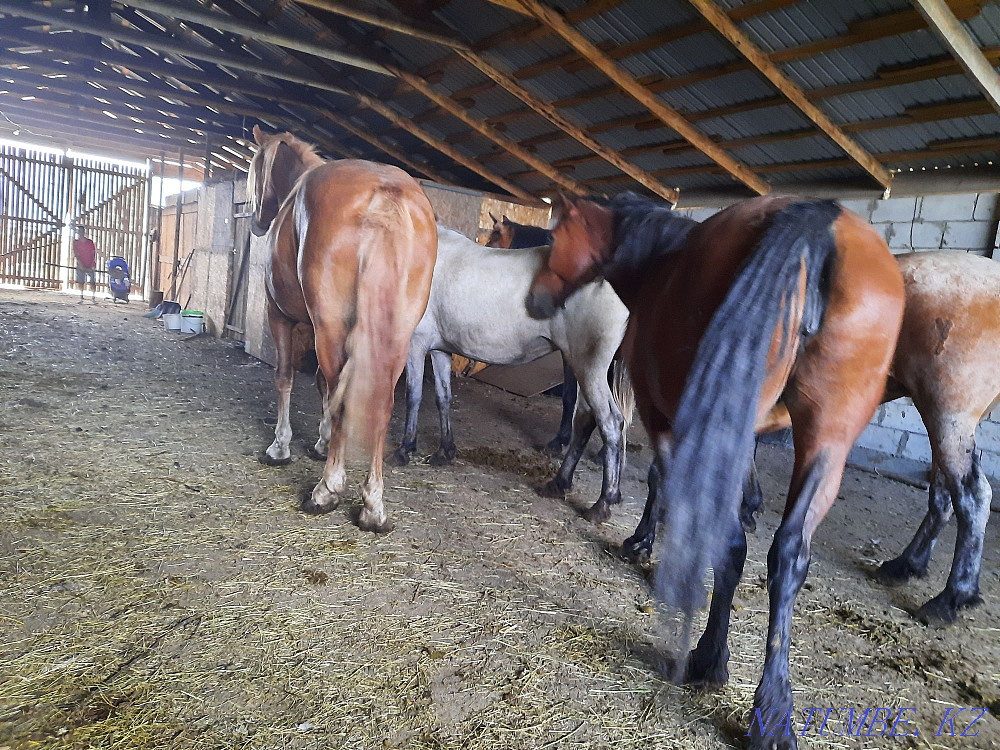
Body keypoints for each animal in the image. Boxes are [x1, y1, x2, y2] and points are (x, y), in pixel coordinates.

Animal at [249, 125, 437, 533]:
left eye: (254, 167)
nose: (256, 220)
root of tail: (387, 193)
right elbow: (321, 385)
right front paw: (319, 444)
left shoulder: (283, 318)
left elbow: (287, 377)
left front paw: (280, 447)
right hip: (394, 339)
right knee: (381, 405)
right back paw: (373, 507)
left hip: (332, 328)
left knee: (343, 395)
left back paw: (326, 490)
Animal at [396, 225, 634, 523]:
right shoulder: (439, 349)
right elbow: (443, 398)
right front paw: (444, 451)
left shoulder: (416, 343)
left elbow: (413, 396)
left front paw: (404, 449)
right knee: (587, 419)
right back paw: (562, 483)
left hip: (590, 369)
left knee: (610, 423)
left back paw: (601, 503)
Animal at [528, 192, 904, 749]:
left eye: (553, 238)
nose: (533, 300)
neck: (660, 263)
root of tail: (819, 218)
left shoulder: (668, 421)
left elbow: (662, 484)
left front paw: (642, 544)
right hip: (826, 441)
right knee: (787, 556)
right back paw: (772, 710)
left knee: (731, 543)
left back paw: (709, 657)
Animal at [621, 250, 1000, 626]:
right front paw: (746, 508)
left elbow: (662, 475)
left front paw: (643, 541)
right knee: (943, 498)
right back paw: (906, 566)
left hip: (947, 418)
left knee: (973, 497)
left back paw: (951, 598)